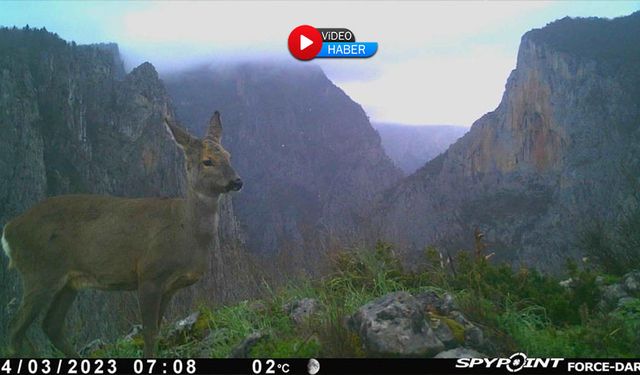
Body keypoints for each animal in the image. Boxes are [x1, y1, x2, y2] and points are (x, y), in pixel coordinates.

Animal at [1, 111, 241, 358]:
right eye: (207, 161)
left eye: (228, 155)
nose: (237, 181)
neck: (185, 230)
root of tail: (9, 229)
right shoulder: (149, 274)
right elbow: (149, 333)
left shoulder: (170, 287)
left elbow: (156, 329)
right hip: (39, 271)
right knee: (14, 328)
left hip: (68, 281)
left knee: (51, 325)